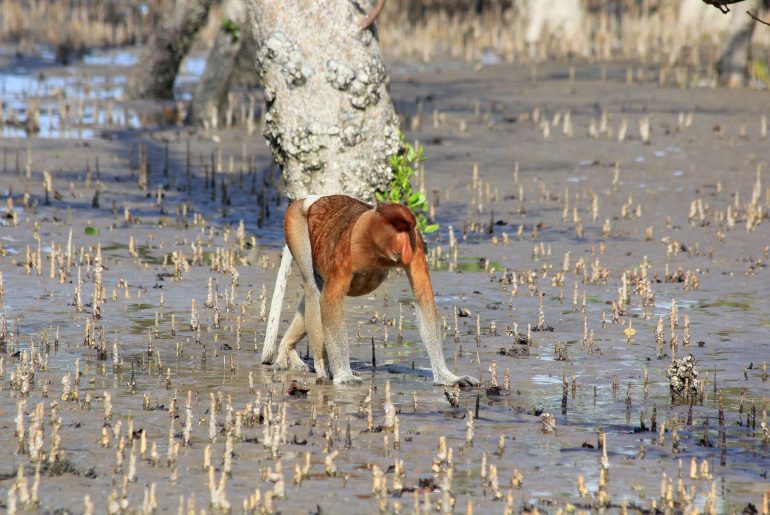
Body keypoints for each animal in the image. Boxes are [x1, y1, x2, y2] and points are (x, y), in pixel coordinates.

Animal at [261, 194, 479, 387]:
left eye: (408, 230)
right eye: (399, 230)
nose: (406, 248)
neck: (374, 244)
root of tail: (310, 200)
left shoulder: (416, 244)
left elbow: (423, 297)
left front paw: (448, 378)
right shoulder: (346, 249)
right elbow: (330, 299)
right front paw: (344, 375)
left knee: (313, 294)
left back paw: (287, 353)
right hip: (295, 224)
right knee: (314, 291)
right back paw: (322, 367)